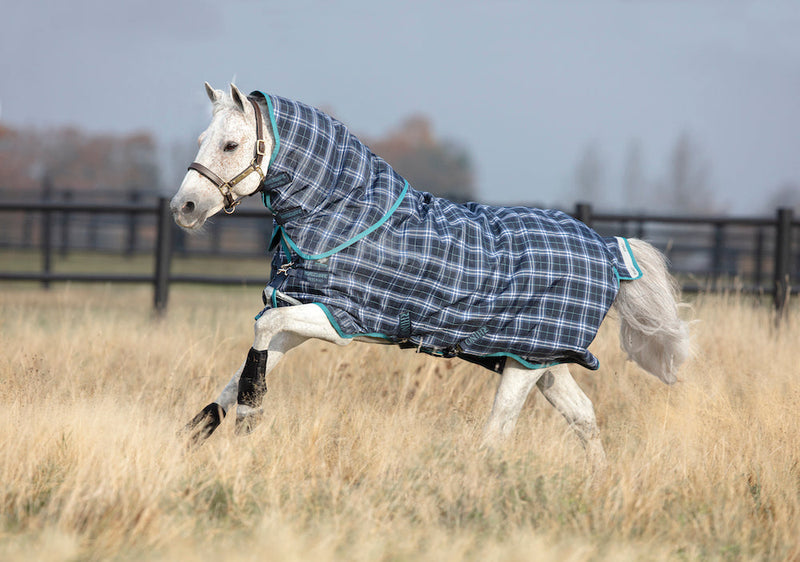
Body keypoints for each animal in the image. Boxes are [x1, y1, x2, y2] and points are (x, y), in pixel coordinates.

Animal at [170, 83, 689, 469]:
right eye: (201, 141)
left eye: (231, 144)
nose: (184, 208)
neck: (346, 215)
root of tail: (608, 248)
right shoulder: (300, 312)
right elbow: (239, 370)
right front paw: (187, 439)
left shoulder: (337, 320)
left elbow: (260, 338)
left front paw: (251, 417)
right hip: (540, 360)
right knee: (582, 417)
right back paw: (599, 480)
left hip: (525, 364)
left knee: (499, 431)